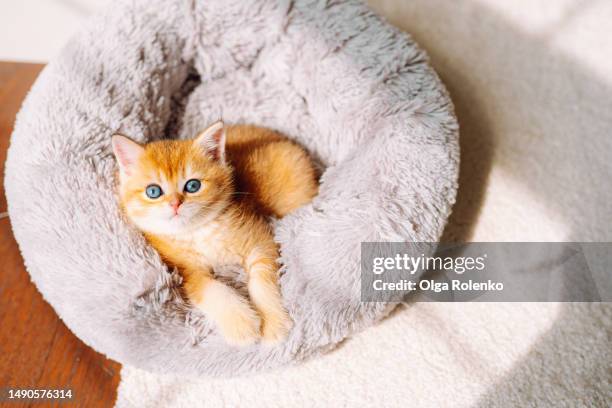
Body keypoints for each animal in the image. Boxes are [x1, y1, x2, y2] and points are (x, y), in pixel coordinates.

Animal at [112, 121, 318, 344]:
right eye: (153, 191)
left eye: (193, 185)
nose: (175, 204)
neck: (198, 231)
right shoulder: (183, 270)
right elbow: (209, 288)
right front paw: (242, 322)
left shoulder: (260, 239)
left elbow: (262, 280)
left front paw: (274, 322)